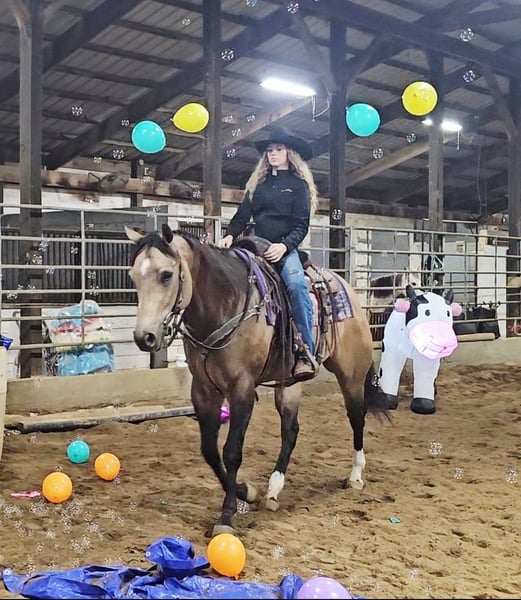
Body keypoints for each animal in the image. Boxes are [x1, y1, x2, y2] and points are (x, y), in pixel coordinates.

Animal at [125, 224, 389, 537]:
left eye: (166, 275)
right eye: (133, 276)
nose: (144, 337)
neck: (225, 305)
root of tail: (347, 289)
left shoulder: (242, 389)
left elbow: (231, 452)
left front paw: (226, 516)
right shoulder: (203, 390)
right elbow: (209, 451)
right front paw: (246, 492)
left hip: (351, 375)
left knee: (357, 417)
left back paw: (356, 475)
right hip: (289, 383)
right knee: (291, 430)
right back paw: (273, 490)